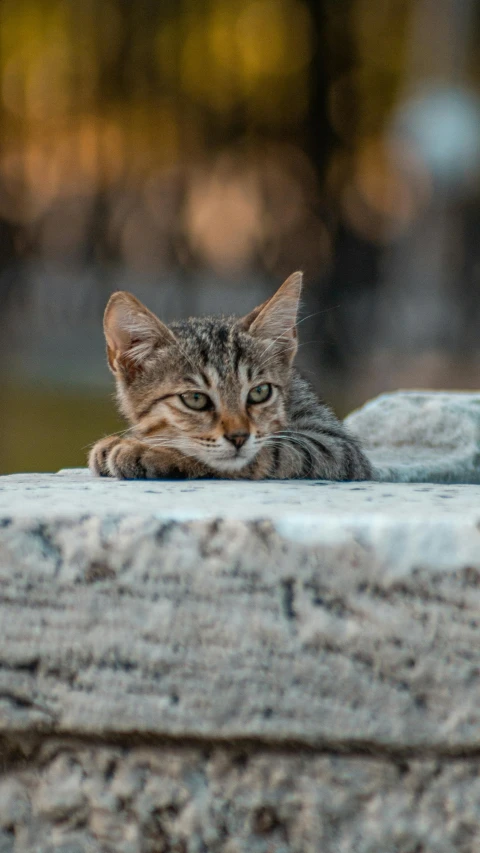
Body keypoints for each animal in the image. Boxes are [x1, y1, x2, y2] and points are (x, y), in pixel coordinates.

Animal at [90, 272, 374, 480]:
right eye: (195, 399)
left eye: (260, 392)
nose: (239, 437)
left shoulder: (335, 447)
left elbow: (269, 454)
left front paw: (148, 451)